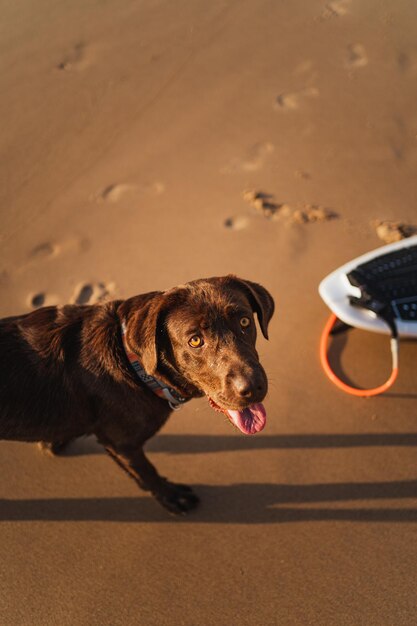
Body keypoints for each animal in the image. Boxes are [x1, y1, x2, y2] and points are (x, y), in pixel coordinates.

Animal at [0, 276, 272, 512]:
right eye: (195, 340)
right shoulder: (122, 444)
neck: (134, 364)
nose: (252, 387)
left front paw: (54, 440)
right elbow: (146, 471)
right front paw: (172, 496)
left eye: (245, 322)